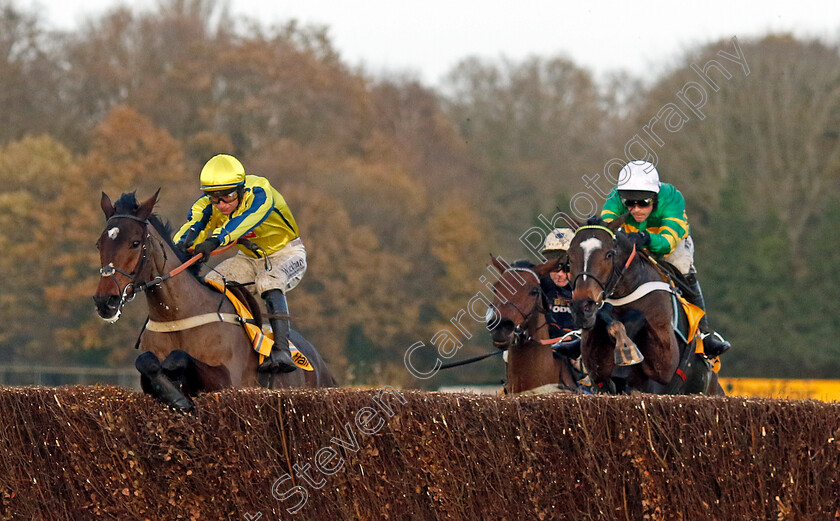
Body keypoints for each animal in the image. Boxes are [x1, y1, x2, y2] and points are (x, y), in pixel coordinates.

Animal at [93, 191, 336, 410]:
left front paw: (179, 395)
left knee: (270, 283)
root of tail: (321, 363)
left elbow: (177, 358)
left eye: (135, 243)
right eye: (99, 244)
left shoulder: (227, 380)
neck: (175, 317)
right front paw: (175, 394)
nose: (105, 301)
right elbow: (146, 362)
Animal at [568, 215, 724, 394]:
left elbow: (637, 316)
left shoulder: (664, 365)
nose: (583, 307)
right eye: (569, 255)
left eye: (609, 254)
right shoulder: (596, 369)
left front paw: (627, 349)